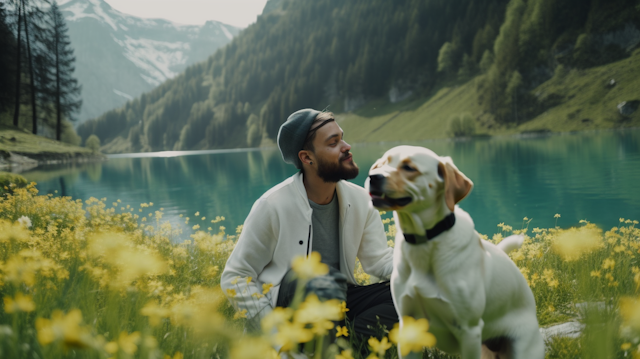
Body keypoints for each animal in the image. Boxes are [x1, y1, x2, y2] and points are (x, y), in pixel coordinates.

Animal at [368, 146, 544, 359]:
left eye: (409, 168)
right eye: (381, 164)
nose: (373, 177)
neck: (425, 242)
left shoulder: (469, 331)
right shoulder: (408, 326)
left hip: (520, 348)